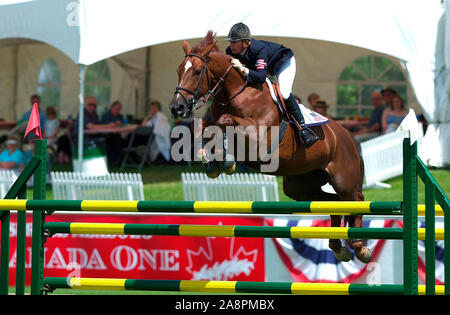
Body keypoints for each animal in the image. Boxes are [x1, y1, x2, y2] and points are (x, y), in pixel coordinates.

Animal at [170, 32, 372, 264]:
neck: (235, 92)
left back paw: (359, 247)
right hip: (300, 186)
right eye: (178, 70)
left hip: (343, 179)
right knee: (333, 202)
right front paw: (213, 160)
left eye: (196, 71)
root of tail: (350, 138)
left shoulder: (257, 137)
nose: (176, 108)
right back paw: (338, 247)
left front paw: (226, 161)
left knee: (356, 200)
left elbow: (224, 120)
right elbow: (204, 128)